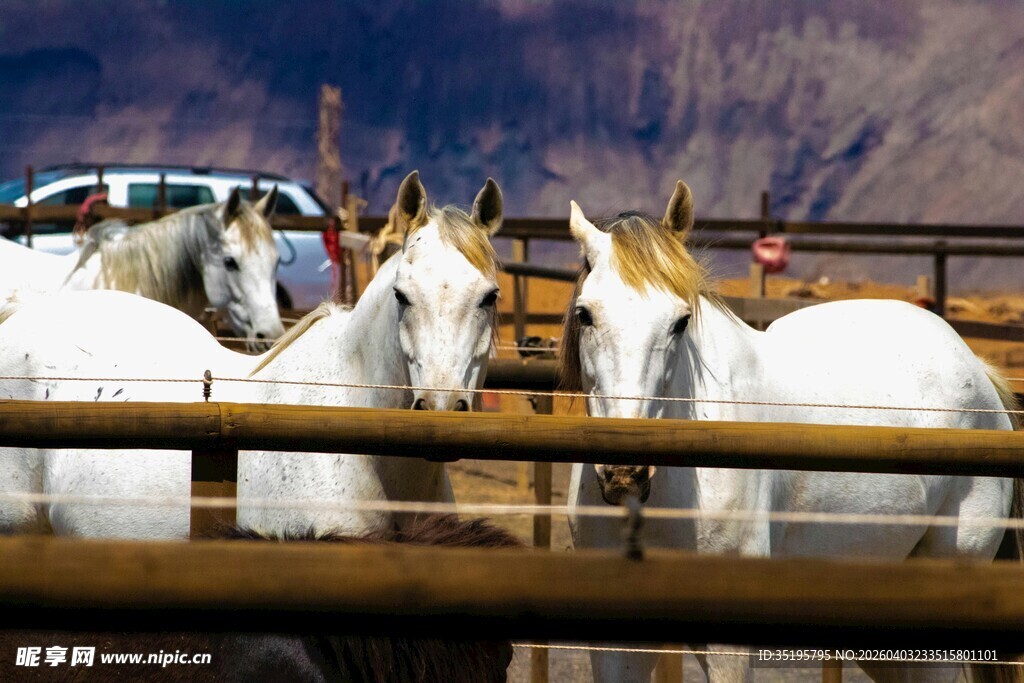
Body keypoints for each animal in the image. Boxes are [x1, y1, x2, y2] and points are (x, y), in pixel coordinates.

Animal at [559, 182, 1023, 683]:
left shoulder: (726, 648)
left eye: (680, 321)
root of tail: (975, 367)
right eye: (585, 315)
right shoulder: (614, 645)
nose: (625, 474)